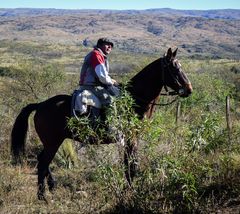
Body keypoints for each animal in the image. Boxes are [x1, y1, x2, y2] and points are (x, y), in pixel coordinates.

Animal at [10, 47, 193, 200]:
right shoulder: (130, 137)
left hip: (52, 142)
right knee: (42, 163)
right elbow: (131, 164)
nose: (189, 89)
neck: (135, 99)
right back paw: (42, 196)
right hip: (52, 142)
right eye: (174, 68)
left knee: (42, 160)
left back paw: (51, 187)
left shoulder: (133, 138)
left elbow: (130, 163)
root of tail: (40, 105)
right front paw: (131, 189)